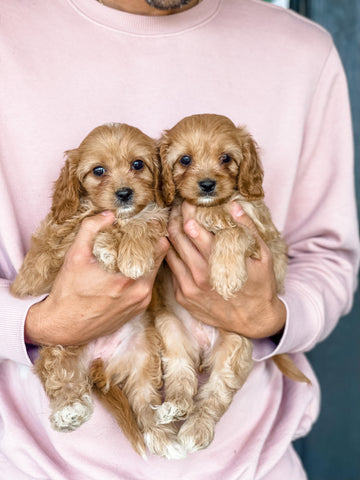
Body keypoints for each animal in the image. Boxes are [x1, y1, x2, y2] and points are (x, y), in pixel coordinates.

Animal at [11, 123, 181, 458]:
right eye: (98, 171)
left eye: (138, 164)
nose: (124, 193)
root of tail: (101, 363)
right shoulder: (62, 235)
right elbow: (96, 222)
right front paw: (109, 246)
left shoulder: (156, 216)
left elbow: (146, 218)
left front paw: (132, 252)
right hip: (61, 343)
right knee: (61, 376)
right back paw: (69, 411)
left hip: (142, 362)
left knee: (145, 401)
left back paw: (163, 438)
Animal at [155, 113, 310, 458]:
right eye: (185, 160)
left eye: (226, 158)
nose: (207, 185)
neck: (212, 205)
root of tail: (201, 350)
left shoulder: (262, 238)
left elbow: (234, 231)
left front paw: (225, 274)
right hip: (172, 335)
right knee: (182, 378)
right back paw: (175, 406)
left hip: (234, 350)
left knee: (214, 396)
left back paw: (196, 429)